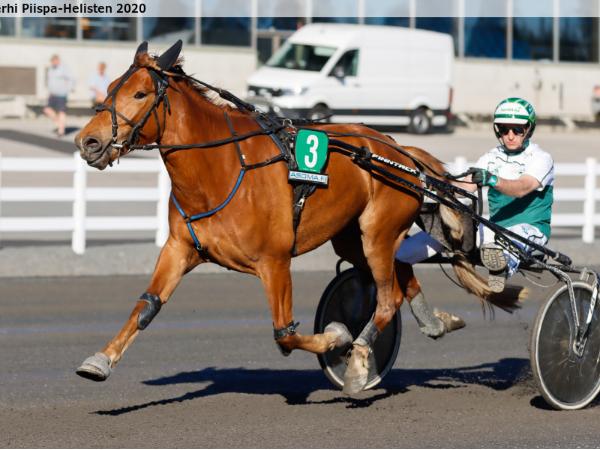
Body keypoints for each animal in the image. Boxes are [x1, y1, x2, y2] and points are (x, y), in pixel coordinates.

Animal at [74, 40, 518, 395]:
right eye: (110, 89)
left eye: (140, 93)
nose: (88, 141)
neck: (221, 168)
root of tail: (400, 150)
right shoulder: (180, 247)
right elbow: (146, 305)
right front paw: (100, 360)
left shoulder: (275, 261)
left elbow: (285, 334)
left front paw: (336, 338)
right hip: (353, 237)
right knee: (401, 277)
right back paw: (437, 322)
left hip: (376, 231)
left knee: (387, 298)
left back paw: (359, 362)